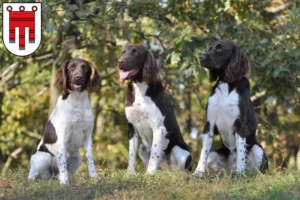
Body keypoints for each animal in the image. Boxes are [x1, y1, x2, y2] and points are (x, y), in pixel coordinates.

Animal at [118, 44, 192, 173]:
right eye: (123, 52)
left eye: (135, 53)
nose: (120, 62)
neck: (140, 88)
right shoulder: (132, 127)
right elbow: (131, 154)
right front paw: (130, 173)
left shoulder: (159, 128)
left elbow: (154, 153)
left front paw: (150, 173)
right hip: (142, 148)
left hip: (179, 150)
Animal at [193, 39, 268, 177]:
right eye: (210, 48)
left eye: (220, 49)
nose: (200, 57)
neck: (226, 84)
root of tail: (229, 170)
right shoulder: (209, 124)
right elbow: (203, 152)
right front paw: (198, 173)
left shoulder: (240, 125)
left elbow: (241, 154)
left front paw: (240, 174)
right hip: (214, 155)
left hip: (258, 149)